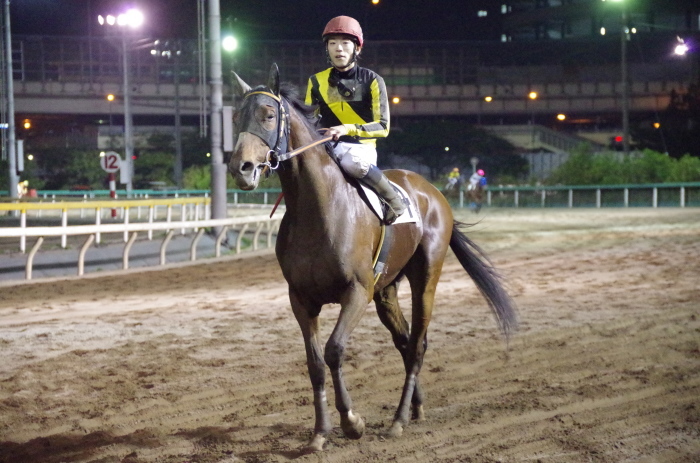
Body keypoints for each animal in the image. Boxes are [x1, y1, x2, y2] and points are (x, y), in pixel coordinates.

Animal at [227, 64, 516, 454]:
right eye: (235, 116)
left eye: (268, 115)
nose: (240, 168)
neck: (319, 209)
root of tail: (431, 191)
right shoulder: (300, 298)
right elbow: (315, 362)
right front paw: (319, 433)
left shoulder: (357, 291)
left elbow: (335, 350)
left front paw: (352, 423)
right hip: (386, 291)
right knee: (405, 341)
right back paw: (415, 407)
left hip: (425, 278)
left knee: (418, 344)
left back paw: (398, 420)